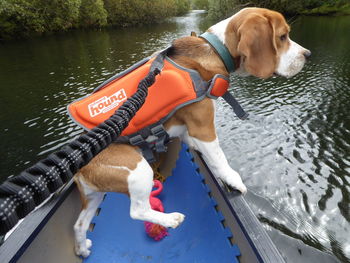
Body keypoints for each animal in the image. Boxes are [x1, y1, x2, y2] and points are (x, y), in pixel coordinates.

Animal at [73, 6, 308, 258]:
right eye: (282, 37)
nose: (309, 54)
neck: (215, 50)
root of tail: (79, 165)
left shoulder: (188, 131)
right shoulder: (203, 128)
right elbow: (220, 158)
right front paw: (234, 180)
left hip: (93, 196)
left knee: (79, 225)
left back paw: (83, 248)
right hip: (137, 169)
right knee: (137, 211)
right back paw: (170, 219)